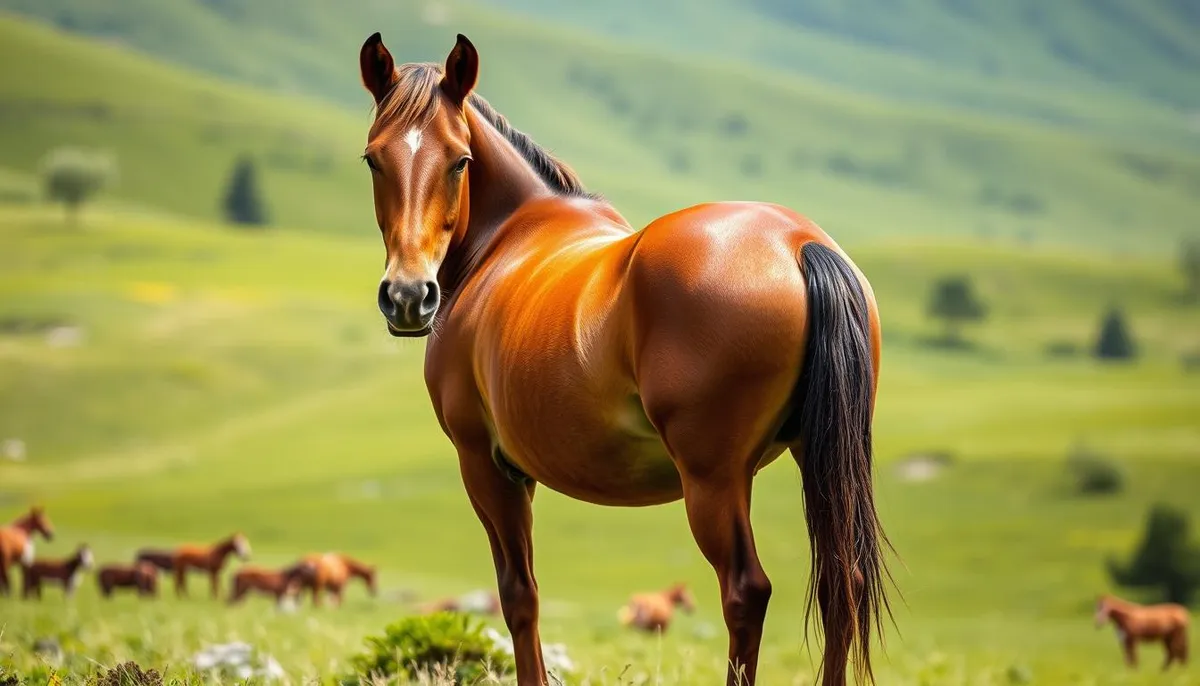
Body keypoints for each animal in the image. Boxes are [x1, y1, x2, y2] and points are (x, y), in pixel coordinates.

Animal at [355, 33, 890, 686]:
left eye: (459, 160)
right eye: (373, 158)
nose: (409, 296)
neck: (504, 239)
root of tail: (798, 243)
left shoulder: (485, 464)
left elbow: (519, 596)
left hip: (713, 479)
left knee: (746, 591)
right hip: (816, 454)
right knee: (843, 582)